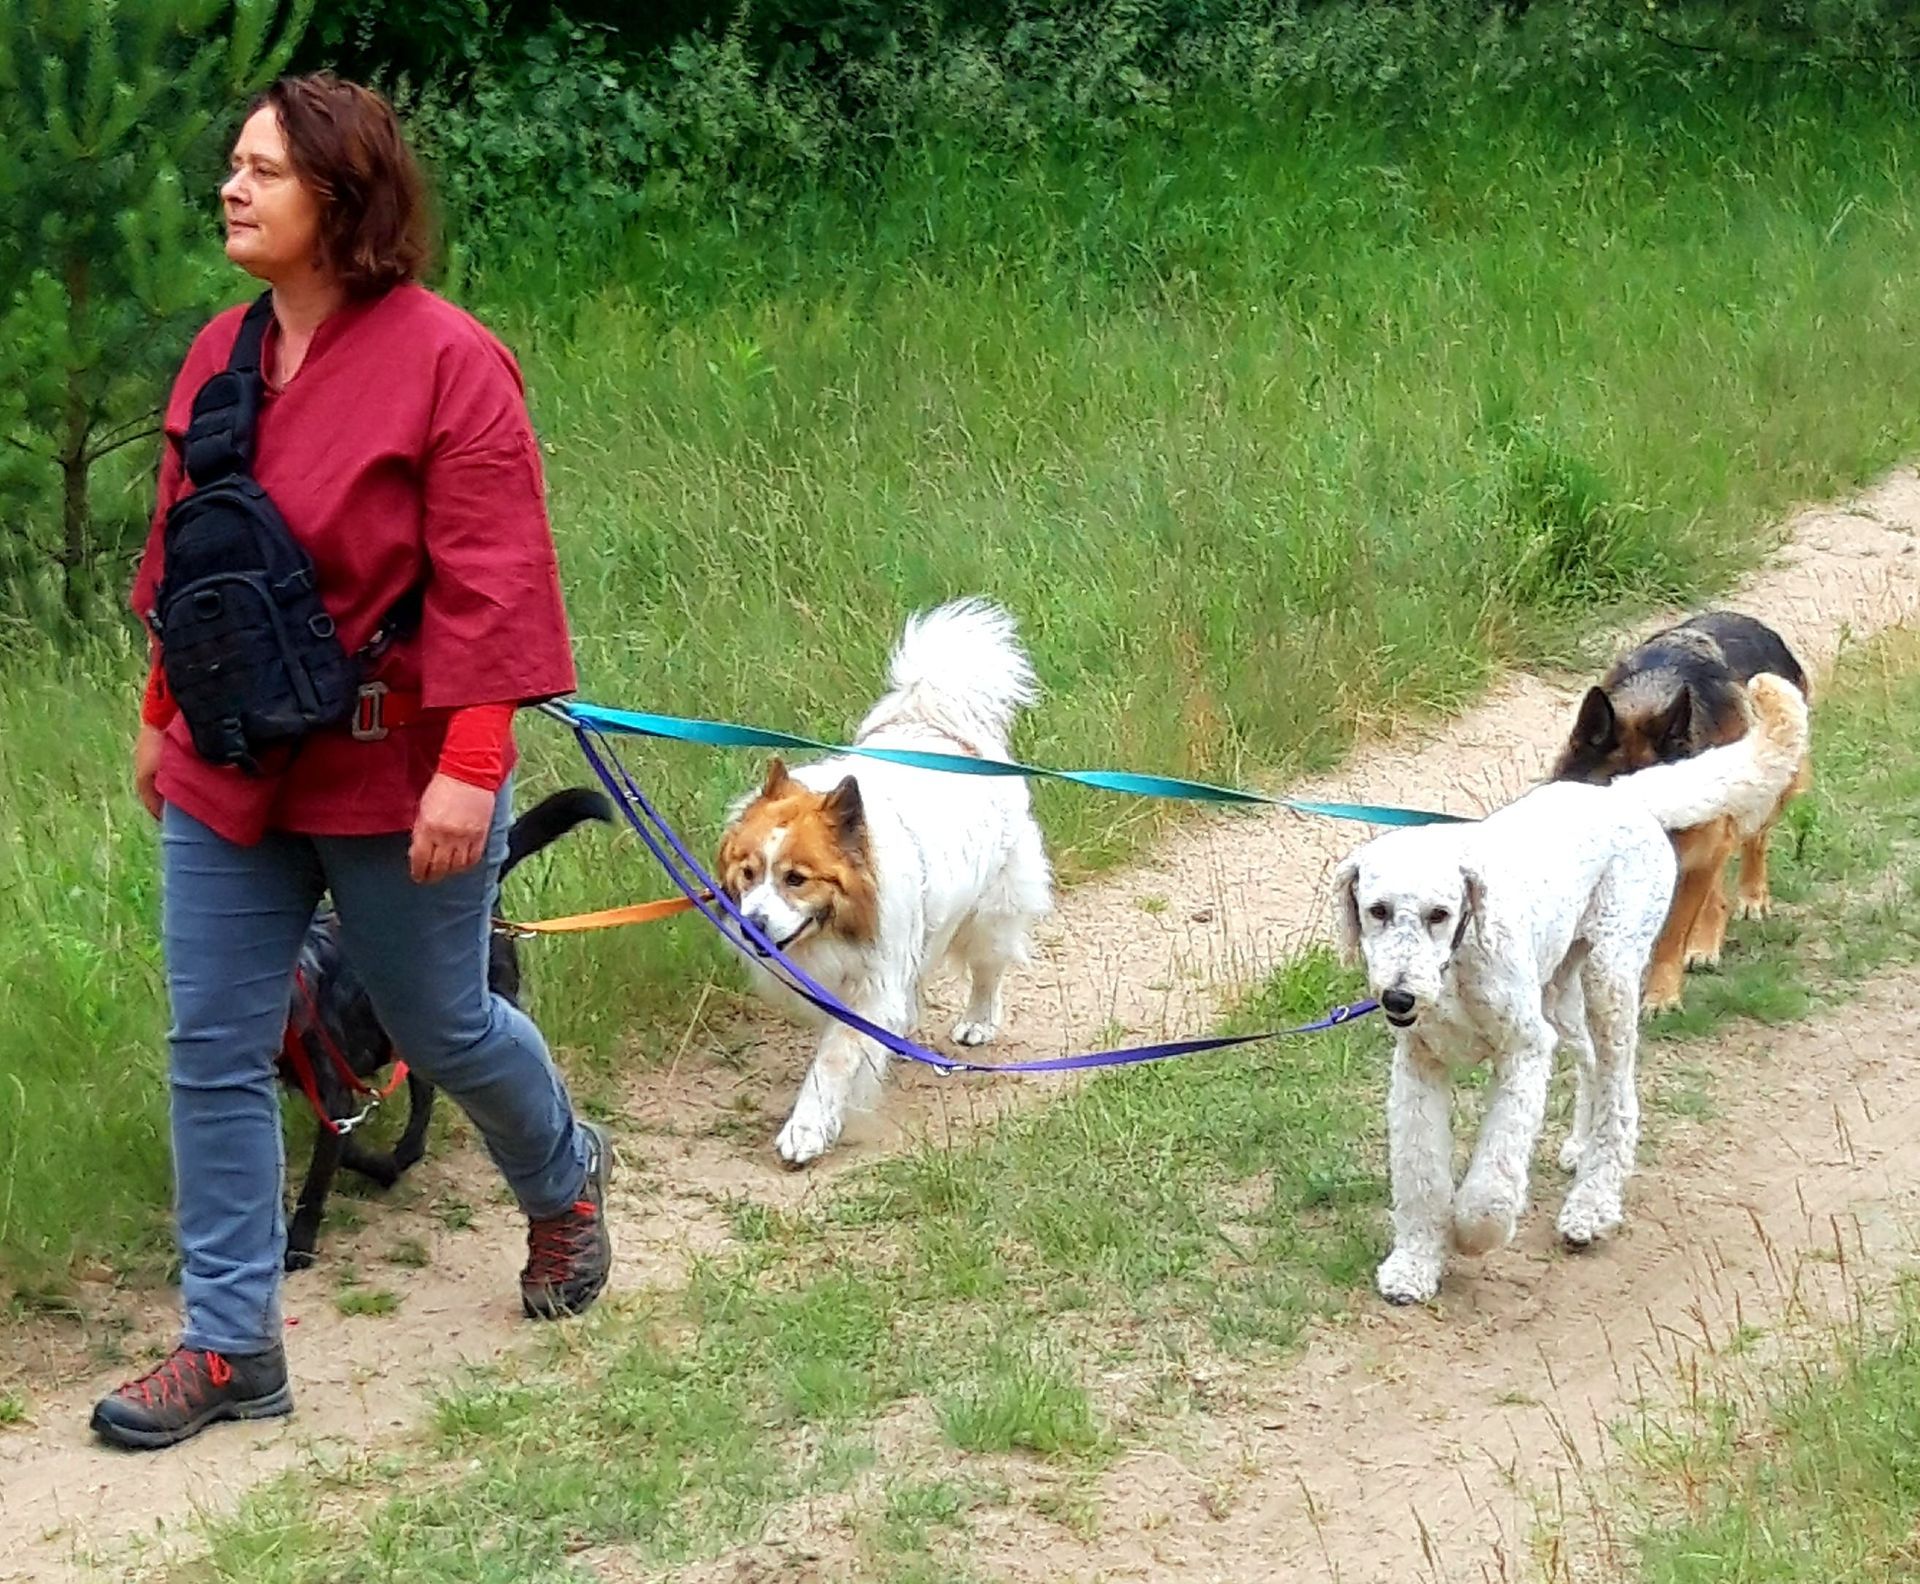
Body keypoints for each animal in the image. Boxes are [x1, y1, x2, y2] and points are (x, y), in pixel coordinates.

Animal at [276, 783, 606, 1267]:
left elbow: (318, 1180)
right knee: (425, 1090)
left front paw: (299, 1243)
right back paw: (406, 1152)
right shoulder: (331, 1102)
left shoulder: (333, 1095)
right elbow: (347, 1149)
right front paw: (383, 1168)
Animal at [718, 599, 1052, 1167]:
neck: (837, 928)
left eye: (796, 878)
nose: (752, 925)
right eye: (748, 873)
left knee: (988, 968)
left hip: (993, 905)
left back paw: (978, 1020)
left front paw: (807, 1128)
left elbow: (833, 1059)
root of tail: (935, 719)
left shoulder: (872, 982)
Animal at [1336, 672, 1797, 1305]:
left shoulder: (1523, 1052)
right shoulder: (1419, 1065)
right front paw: (1413, 1264)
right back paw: (1582, 1147)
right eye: (1377, 910)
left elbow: (1495, 1171)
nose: (1399, 999)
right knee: (1591, 1068)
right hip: (1560, 992)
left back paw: (1592, 1207)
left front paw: (1474, 1231)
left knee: (1621, 1097)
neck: (1457, 962)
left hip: (1610, 975)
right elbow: (1419, 1173)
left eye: (1439, 913)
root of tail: (1623, 794)